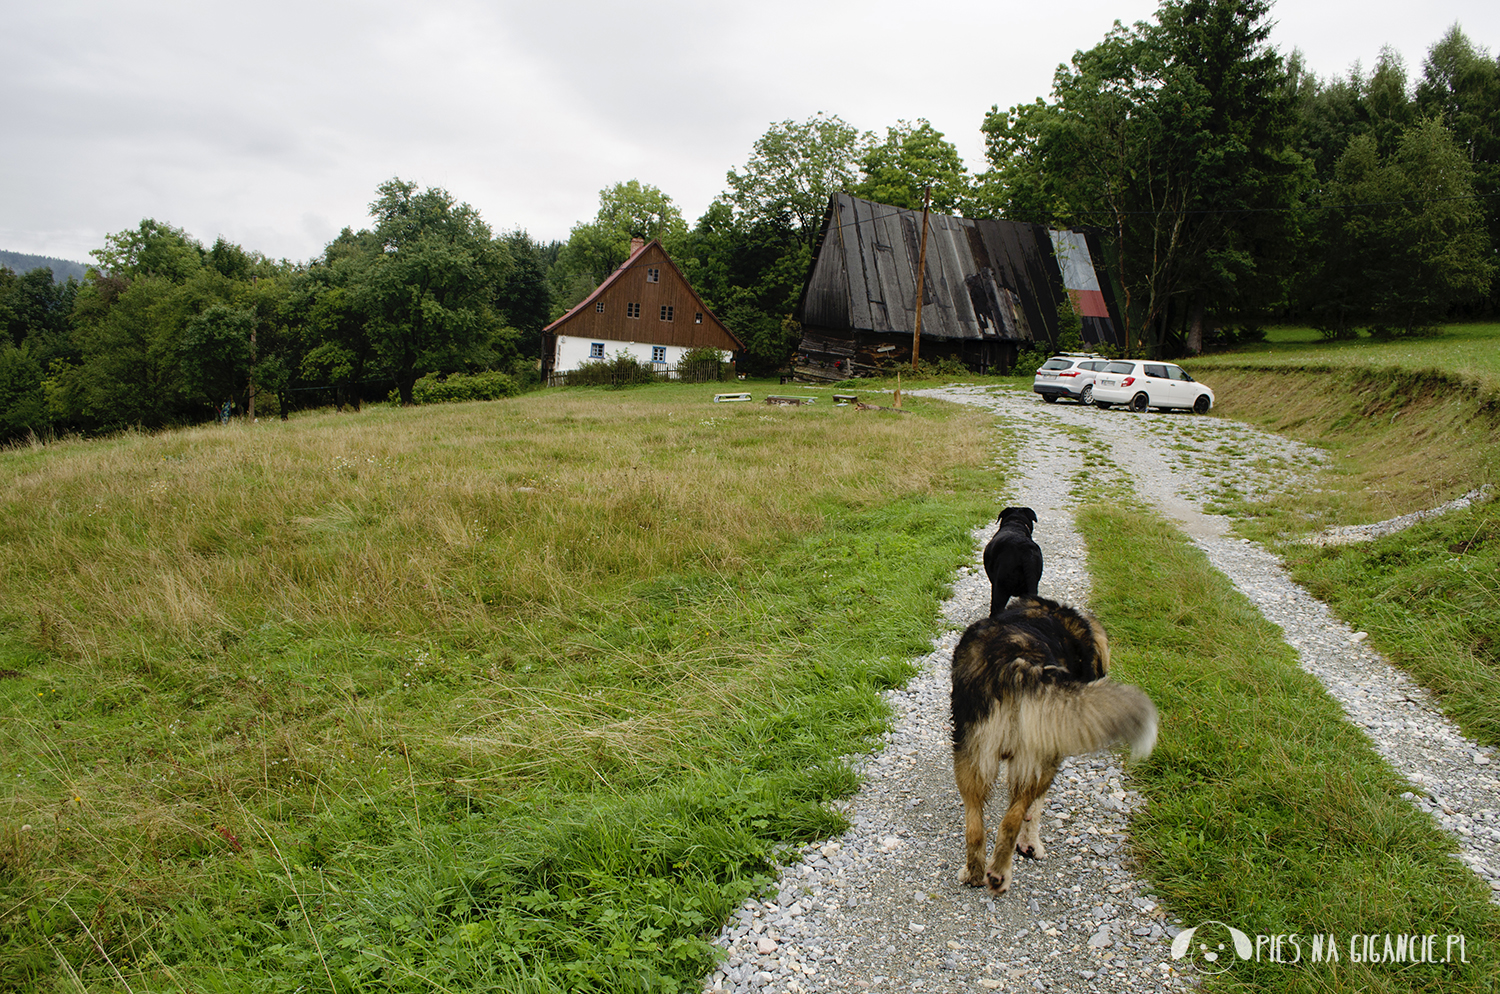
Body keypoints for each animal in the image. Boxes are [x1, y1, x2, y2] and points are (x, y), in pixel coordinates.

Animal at [954, 599, 1152, 893]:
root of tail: (1020, 663)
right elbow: (1033, 811)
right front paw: (1030, 844)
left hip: (972, 755)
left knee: (975, 825)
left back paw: (974, 872)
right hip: (1036, 758)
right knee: (1011, 821)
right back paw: (1000, 873)